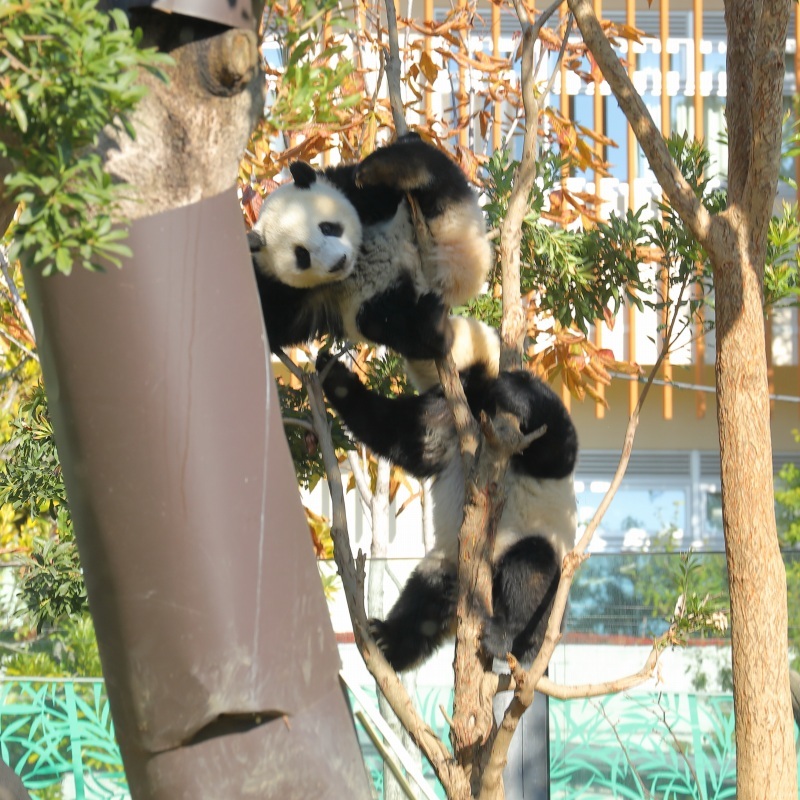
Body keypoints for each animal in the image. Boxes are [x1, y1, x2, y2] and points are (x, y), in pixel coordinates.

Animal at [247, 134, 490, 360]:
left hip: (446, 224)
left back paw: (389, 169)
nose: (338, 262)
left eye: (327, 228)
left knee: (432, 171)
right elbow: (269, 321)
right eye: (302, 255)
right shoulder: (281, 290)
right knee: (383, 322)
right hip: (377, 301)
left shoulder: (353, 191)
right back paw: (433, 328)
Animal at [316, 322, 580, 672]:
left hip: (539, 559)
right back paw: (388, 640)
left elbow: (557, 447)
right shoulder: (449, 413)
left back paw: (507, 637)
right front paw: (331, 373)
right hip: (449, 564)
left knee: (531, 571)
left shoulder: (505, 423)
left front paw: (516, 388)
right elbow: (407, 436)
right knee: (426, 596)